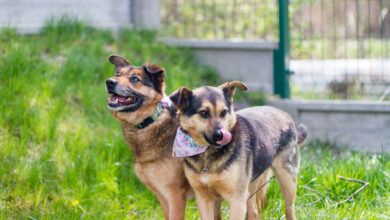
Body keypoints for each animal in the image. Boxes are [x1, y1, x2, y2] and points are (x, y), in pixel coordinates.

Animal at [106, 54, 193, 220]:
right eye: (118, 74)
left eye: (134, 79)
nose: (109, 82)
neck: (150, 120)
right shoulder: (162, 195)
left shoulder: (176, 195)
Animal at [169, 81, 306, 220]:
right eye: (203, 113)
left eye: (224, 112)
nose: (221, 135)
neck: (207, 153)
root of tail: (284, 113)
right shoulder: (204, 198)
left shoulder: (237, 200)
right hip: (251, 185)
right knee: (255, 212)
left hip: (287, 179)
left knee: (289, 211)